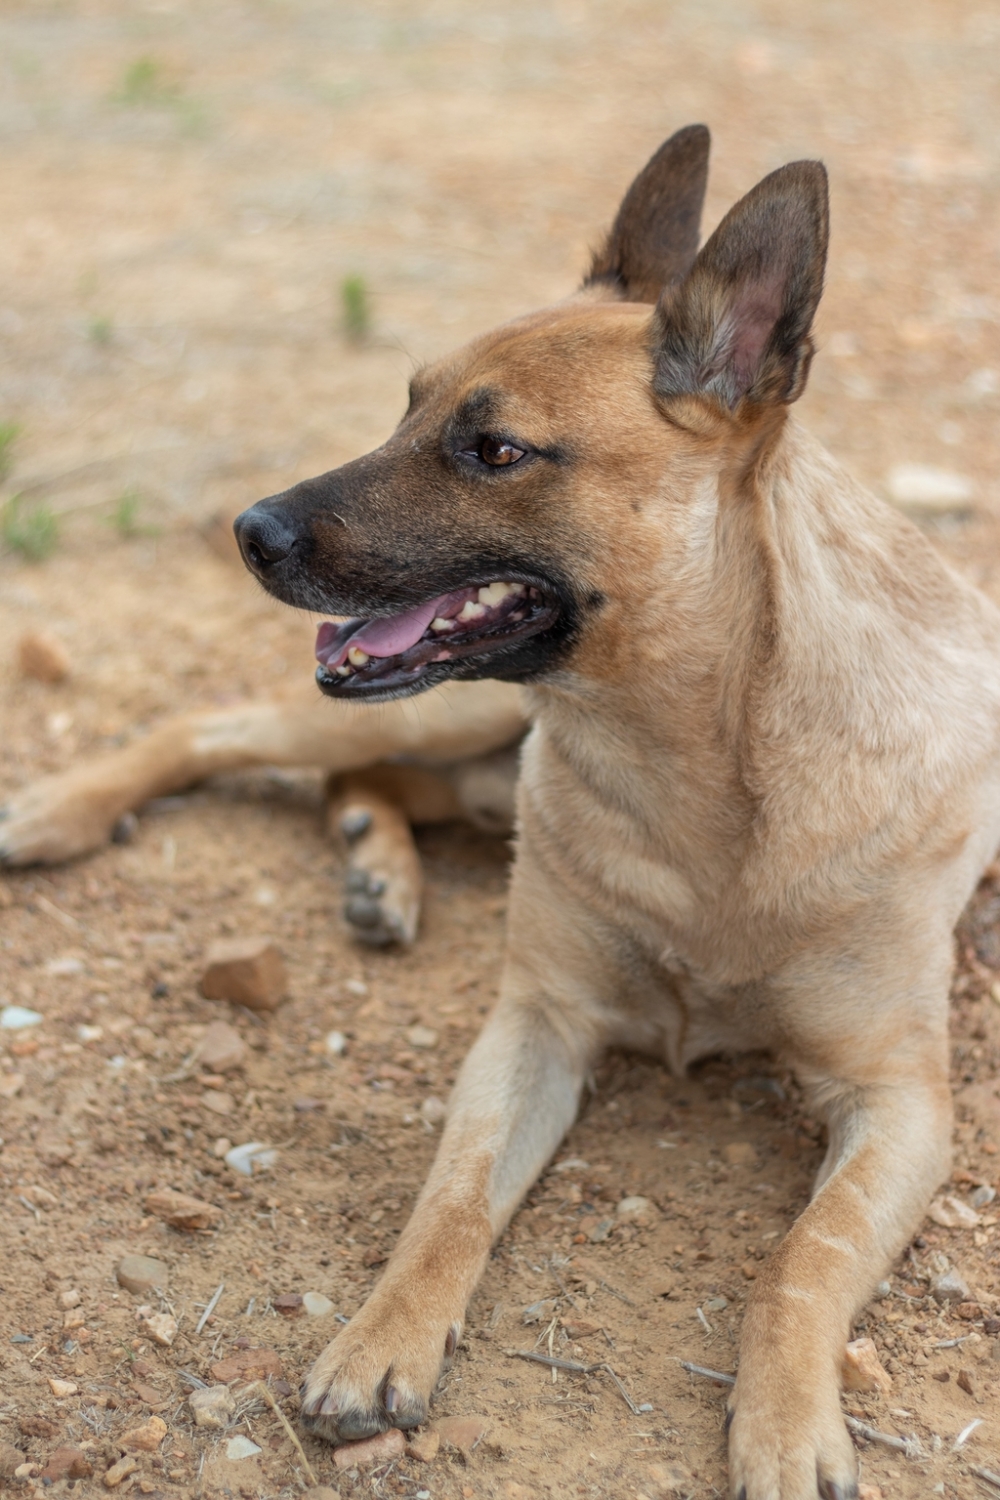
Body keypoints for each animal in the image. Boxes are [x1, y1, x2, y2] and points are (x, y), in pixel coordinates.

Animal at [224, 123, 1000, 1494]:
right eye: (406, 404)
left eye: (494, 450)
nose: (247, 530)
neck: (695, 774)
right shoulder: (534, 1025)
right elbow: (450, 1201)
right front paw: (382, 1336)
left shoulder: (901, 1105)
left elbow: (798, 1265)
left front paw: (785, 1423)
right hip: (433, 713)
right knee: (214, 735)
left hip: (467, 748)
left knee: (382, 787)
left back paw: (379, 866)